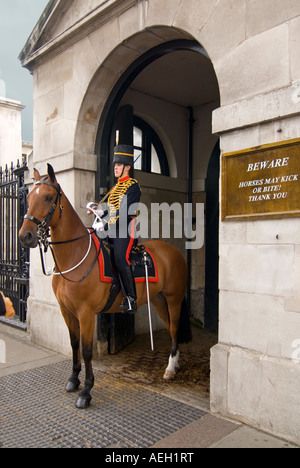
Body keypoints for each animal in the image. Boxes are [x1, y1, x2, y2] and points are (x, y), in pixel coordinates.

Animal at [19, 165, 192, 410]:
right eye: (28, 197)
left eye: (47, 197)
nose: (25, 236)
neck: (73, 256)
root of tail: (174, 252)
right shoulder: (66, 311)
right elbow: (74, 345)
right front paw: (73, 380)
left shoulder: (86, 313)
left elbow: (87, 350)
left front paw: (86, 391)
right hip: (159, 300)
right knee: (170, 329)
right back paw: (173, 364)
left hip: (174, 299)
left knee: (175, 329)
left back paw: (170, 368)